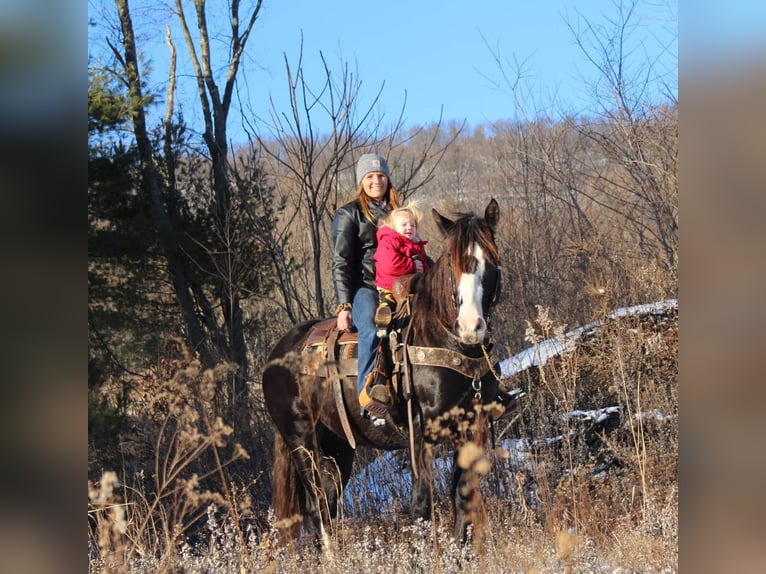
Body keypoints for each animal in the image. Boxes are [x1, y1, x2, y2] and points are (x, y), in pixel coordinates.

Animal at [260, 200, 508, 552]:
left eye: (491, 262)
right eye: (452, 265)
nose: (471, 327)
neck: (440, 338)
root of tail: (276, 356)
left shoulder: (470, 429)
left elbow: (462, 499)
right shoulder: (420, 435)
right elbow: (421, 505)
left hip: (338, 446)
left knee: (329, 504)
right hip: (301, 441)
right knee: (318, 507)